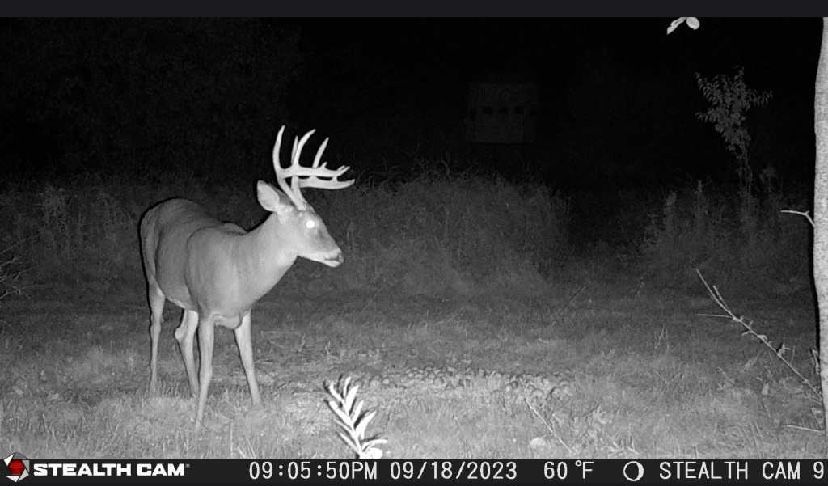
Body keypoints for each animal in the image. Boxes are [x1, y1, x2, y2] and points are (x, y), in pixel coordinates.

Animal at [139, 125, 354, 430]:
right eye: (311, 224)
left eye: (322, 221)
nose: (338, 255)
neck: (241, 266)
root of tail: (156, 209)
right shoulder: (209, 311)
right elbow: (208, 368)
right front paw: (198, 423)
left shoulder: (243, 312)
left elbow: (249, 361)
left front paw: (258, 409)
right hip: (154, 279)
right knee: (155, 327)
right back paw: (153, 388)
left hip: (189, 302)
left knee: (180, 334)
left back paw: (192, 393)